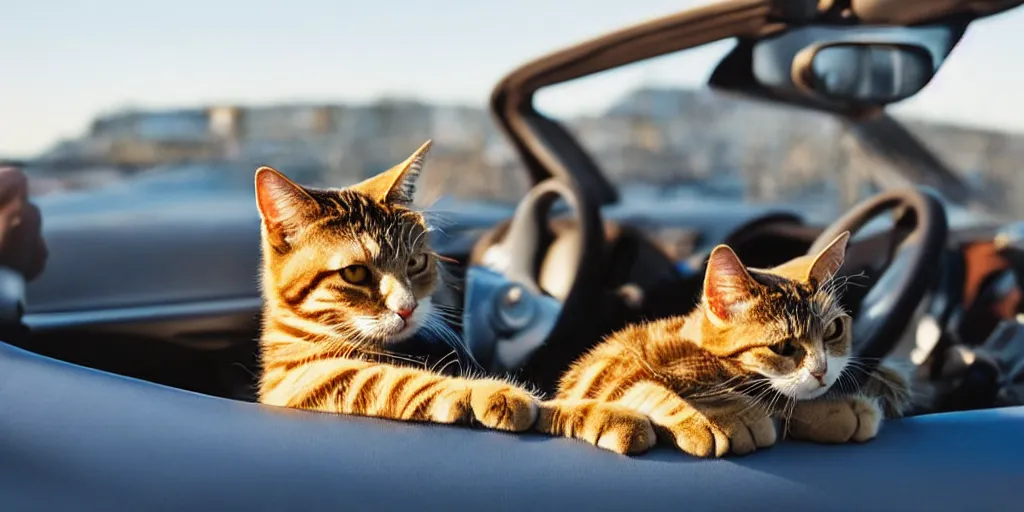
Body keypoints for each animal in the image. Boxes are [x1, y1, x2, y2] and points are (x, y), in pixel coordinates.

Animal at [253, 141, 536, 432]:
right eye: (354, 272)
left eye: (415, 262)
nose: (407, 308)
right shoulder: (295, 380)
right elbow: (389, 381)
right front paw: (489, 392)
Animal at [536, 232, 913, 456]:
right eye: (784, 348)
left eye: (834, 330)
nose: (821, 370)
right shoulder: (603, 368)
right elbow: (645, 387)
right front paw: (726, 414)